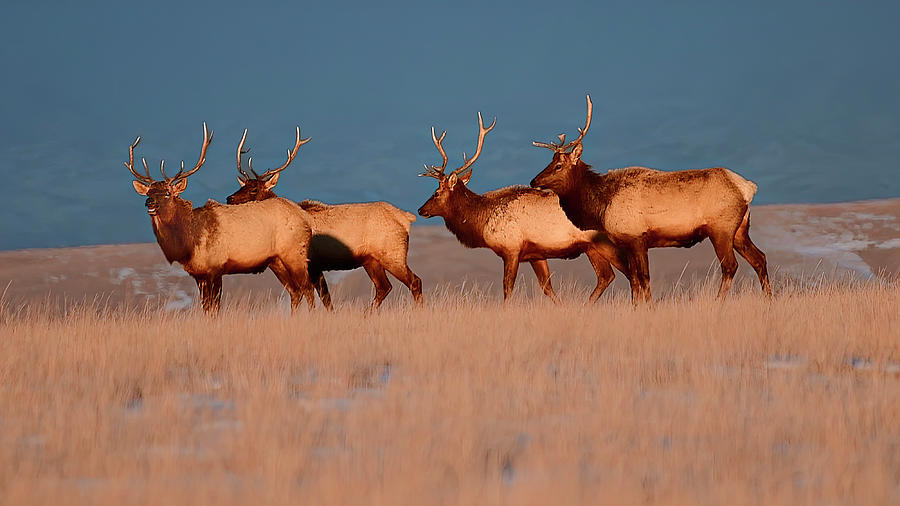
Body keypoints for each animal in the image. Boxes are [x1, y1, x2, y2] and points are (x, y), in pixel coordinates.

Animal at [126, 122, 316, 312]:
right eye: (149, 192)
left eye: (167, 193)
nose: (149, 202)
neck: (190, 242)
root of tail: (305, 217)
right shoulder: (198, 274)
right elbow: (206, 307)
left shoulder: (215, 268)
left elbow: (214, 307)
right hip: (276, 261)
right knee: (296, 291)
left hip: (295, 254)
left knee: (308, 288)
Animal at [225, 127, 422, 308]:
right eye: (242, 185)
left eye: (253, 189)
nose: (229, 198)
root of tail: (406, 218)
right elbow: (325, 300)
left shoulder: (312, 265)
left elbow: (321, 297)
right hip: (371, 260)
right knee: (384, 287)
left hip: (393, 254)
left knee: (414, 281)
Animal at [416, 112, 632, 302]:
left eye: (436, 192)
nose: (420, 210)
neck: (482, 220)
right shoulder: (536, 254)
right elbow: (547, 288)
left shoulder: (511, 250)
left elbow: (507, 288)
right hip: (591, 247)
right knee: (606, 276)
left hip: (605, 243)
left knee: (627, 272)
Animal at [528, 94, 772, 300]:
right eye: (550, 162)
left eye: (558, 165)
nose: (533, 181)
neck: (601, 205)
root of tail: (747, 187)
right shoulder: (628, 242)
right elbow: (636, 280)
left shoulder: (637, 238)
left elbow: (644, 279)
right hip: (740, 230)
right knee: (760, 258)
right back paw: (768, 301)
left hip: (721, 229)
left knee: (730, 266)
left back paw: (718, 302)